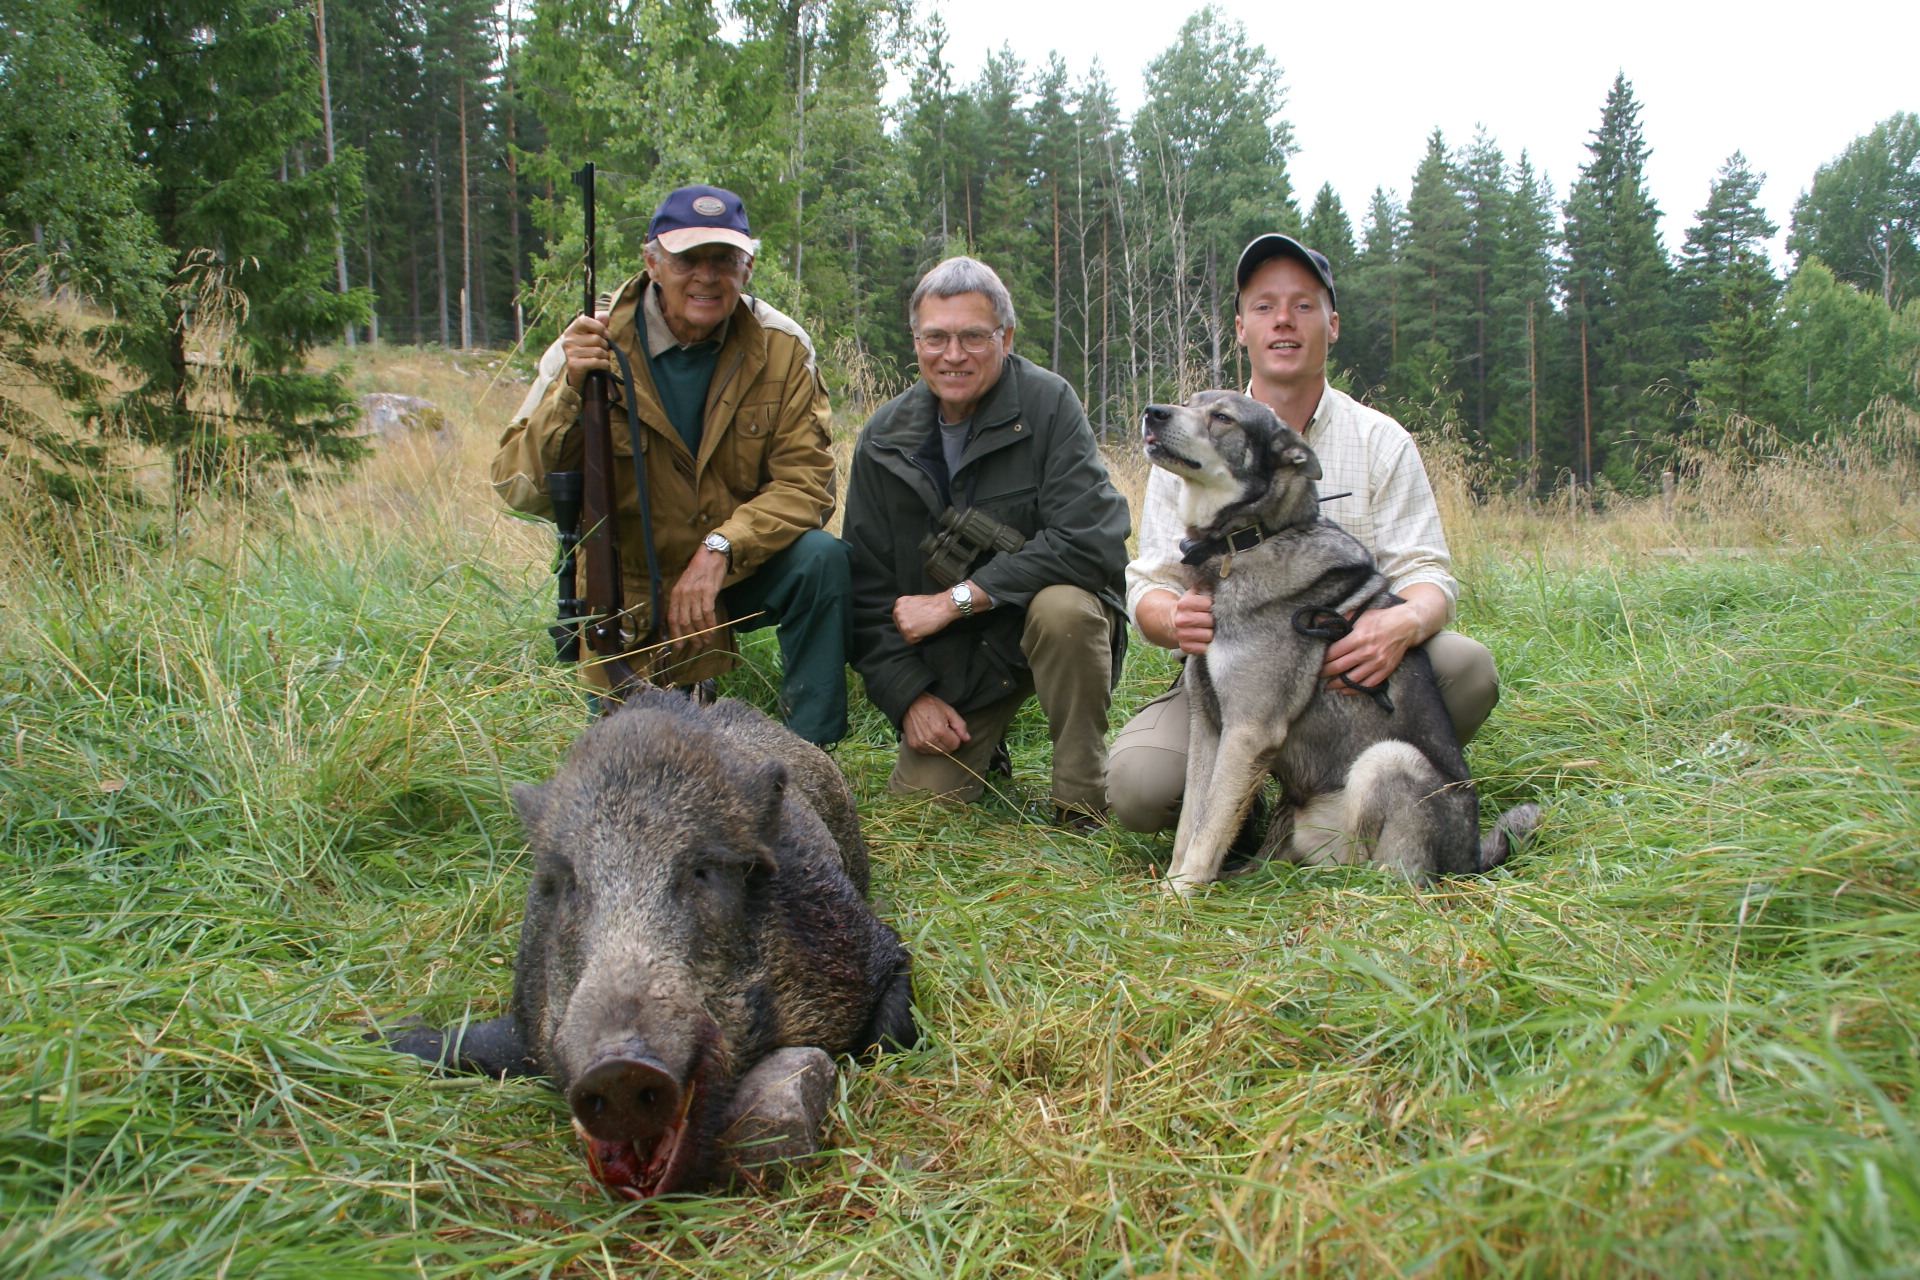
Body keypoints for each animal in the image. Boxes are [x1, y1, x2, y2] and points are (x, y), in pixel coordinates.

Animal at [387, 690, 916, 1198]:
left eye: (702, 871)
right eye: (568, 882)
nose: (617, 1067)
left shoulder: (866, 950)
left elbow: (890, 1033)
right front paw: (385, 1034)